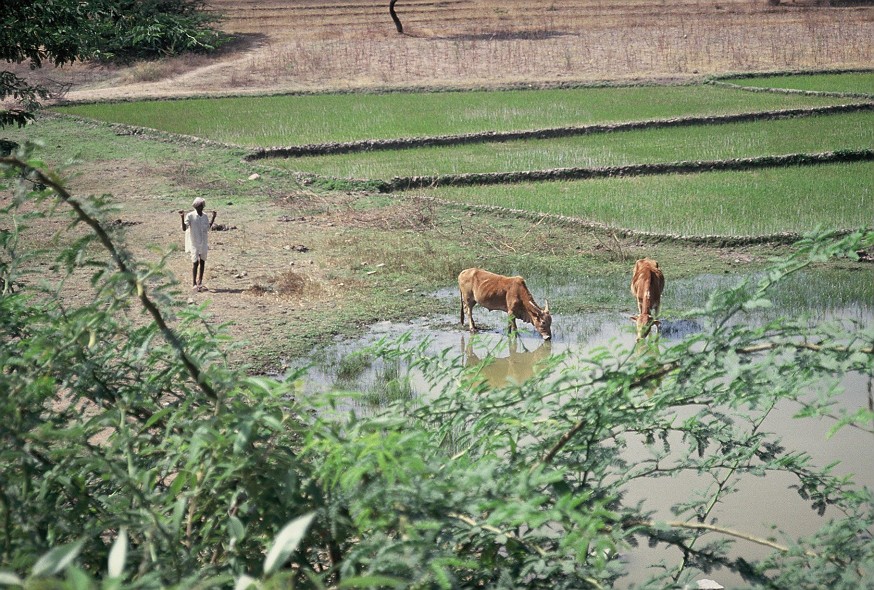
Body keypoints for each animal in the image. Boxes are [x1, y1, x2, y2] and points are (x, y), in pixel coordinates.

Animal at [456, 260, 660, 342]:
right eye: (543, 323)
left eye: (550, 323)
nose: (548, 338)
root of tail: (463, 272)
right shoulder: (511, 311)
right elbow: (513, 327)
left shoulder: (509, 312)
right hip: (468, 299)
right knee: (469, 312)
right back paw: (473, 328)